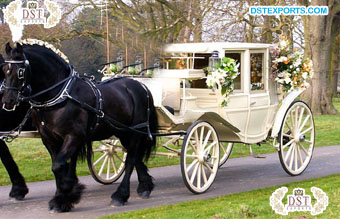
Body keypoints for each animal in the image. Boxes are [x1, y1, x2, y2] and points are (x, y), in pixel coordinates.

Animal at [1, 42, 157, 211]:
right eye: (4, 69)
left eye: (20, 71)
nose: (8, 100)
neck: (59, 95)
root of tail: (141, 86)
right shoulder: (49, 139)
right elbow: (58, 167)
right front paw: (64, 197)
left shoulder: (73, 136)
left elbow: (58, 166)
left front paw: (65, 194)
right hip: (124, 133)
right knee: (135, 157)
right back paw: (145, 186)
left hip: (135, 132)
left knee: (130, 160)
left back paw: (120, 195)